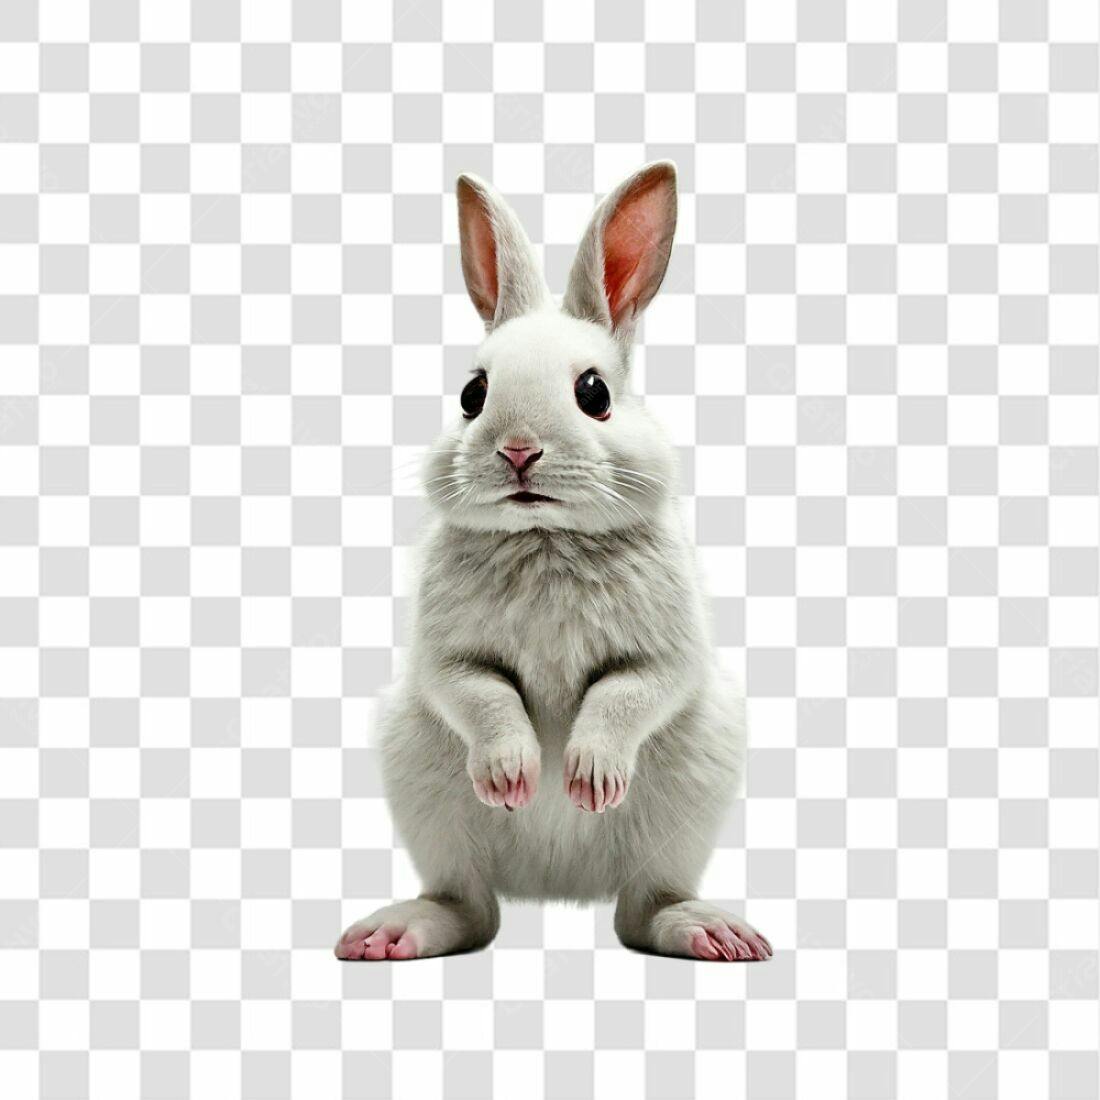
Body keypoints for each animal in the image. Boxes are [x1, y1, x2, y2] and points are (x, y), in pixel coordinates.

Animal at [335, 162, 771, 964]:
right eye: (473, 393)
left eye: (593, 392)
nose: (518, 451)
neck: (545, 536)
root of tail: (553, 885)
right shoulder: (447, 660)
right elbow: (482, 695)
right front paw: (515, 775)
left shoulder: (666, 655)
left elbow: (626, 694)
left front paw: (587, 779)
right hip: (425, 790)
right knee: (471, 907)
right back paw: (394, 932)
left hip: (686, 805)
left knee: (642, 910)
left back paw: (710, 932)